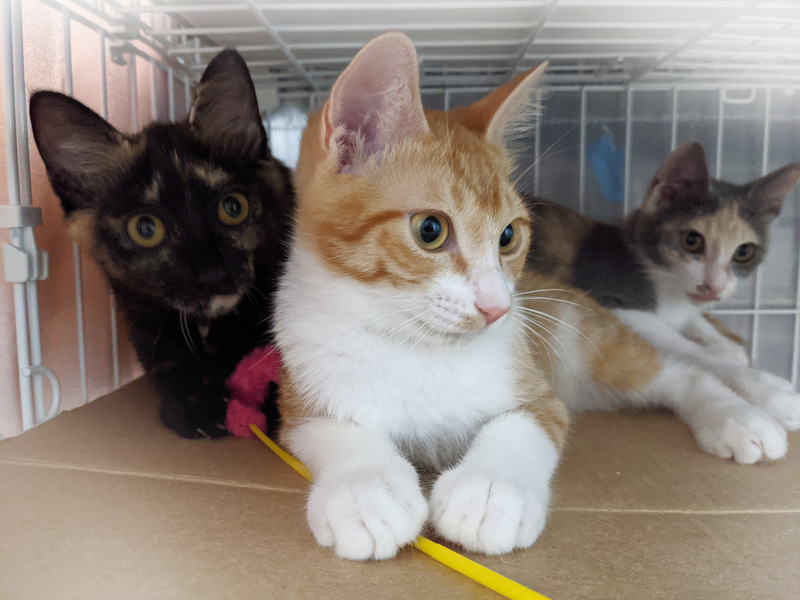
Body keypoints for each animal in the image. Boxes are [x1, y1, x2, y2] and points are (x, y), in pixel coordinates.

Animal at [29, 50, 294, 439]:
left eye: (232, 208)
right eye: (145, 228)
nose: (213, 274)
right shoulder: (142, 319)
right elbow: (168, 367)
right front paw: (194, 407)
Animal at [526, 143, 800, 462]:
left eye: (744, 252)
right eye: (692, 240)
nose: (714, 286)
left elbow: (697, 325)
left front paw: (727, 347)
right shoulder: (609, 297)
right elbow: (688, 350)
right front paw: (768, 388)